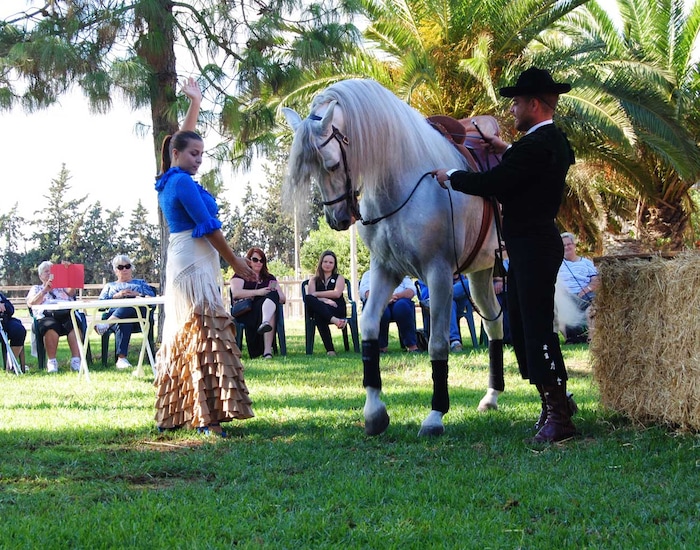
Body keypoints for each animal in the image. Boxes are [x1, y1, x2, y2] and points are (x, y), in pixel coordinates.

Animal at [283, 79, 505, 437]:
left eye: (331, 164)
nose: (338, 220)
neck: (409, 181)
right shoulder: (385, 270)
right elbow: (371, 328)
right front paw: (374, 412)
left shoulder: (438, 274)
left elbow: (437, 343)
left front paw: (435, 416)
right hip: (480, 273)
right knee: (494, 322)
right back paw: (492, 397)